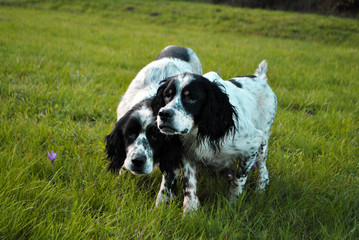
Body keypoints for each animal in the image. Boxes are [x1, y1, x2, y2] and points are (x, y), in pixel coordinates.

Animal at [105, 45, 204, 204]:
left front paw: (162, 204)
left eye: (155, 136)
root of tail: (180, 46)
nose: (138, 161)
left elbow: (168, 181)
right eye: (130, 133)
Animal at [152, 60, 278, 212]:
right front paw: (190, 211)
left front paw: (231, 205)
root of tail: (259, 78)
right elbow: (189, 183)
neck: (199, 131)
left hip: (262, 141)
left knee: (263, 170)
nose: (164, 114)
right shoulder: (187, 152)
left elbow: (238, 180)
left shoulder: (253, 143)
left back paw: (260, 191)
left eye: (192, 98)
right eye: (167, 95)